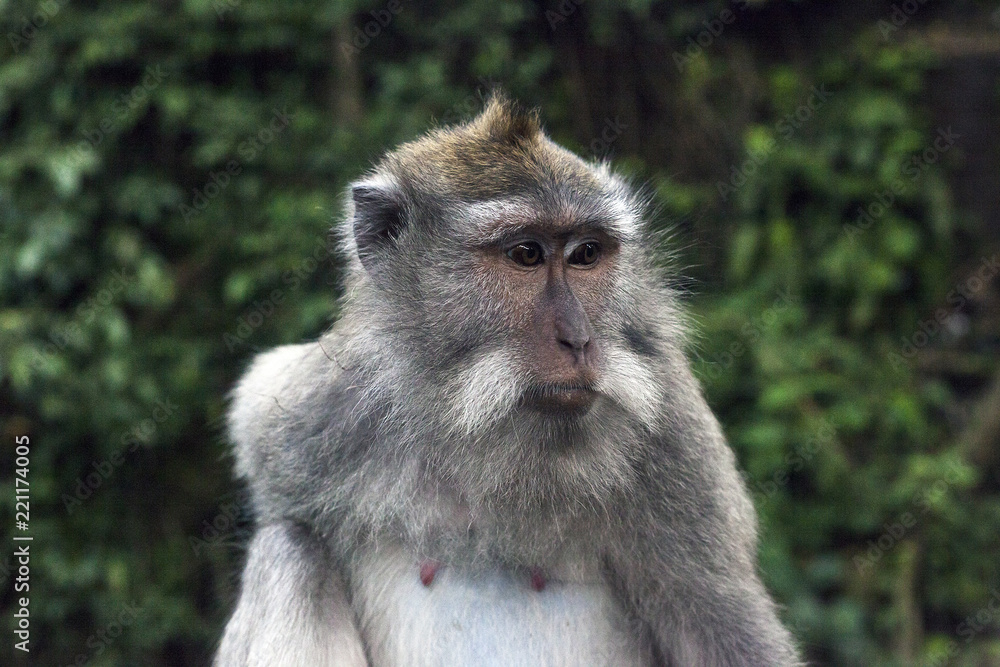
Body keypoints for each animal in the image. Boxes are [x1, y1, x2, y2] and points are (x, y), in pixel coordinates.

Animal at [215, 94, 802, 667]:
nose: (579, 340)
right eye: (526, 254)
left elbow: (728, 629)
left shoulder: (676, 440)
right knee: (290, 548)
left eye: (586, 254)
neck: (473, 425)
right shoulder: (306, 415)